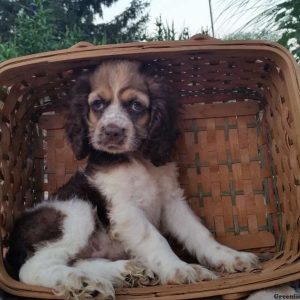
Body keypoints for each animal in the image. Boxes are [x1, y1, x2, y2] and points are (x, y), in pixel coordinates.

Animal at [6, 61, 260, 300]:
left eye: (136, 105)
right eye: (97, 104)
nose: (112, 131)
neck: (137, 159)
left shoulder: (171, 201)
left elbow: (199, 233)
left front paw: (231, 257)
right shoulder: (124, 209)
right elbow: (155, 239)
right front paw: (178, 269)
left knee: (77, 261)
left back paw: (125, 271)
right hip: (76, 211)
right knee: (32, 268)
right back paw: (82, 282)